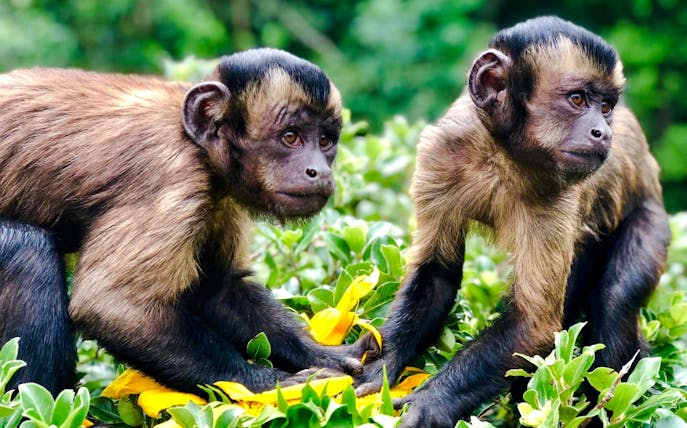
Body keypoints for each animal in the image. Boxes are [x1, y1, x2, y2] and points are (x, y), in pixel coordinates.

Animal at [0, 48, 362, 396]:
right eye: (291, 137)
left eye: (325, 141)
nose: (319, 171)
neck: (197, 145)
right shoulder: (171, 174)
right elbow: (109, 305)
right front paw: (261, 383)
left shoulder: (217, 196)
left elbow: (216, 292)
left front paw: (323, 355)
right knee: (29, 251)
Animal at [350, 16, 671, 427]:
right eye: (578, 100)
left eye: (606, 106)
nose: (603, 132)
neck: (500, 153)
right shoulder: (440, 153)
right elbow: (437, 274)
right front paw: (381, 365)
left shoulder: (558, 187)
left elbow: (533, 325)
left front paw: (431, 402)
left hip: (652, 218)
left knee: (614, 300)